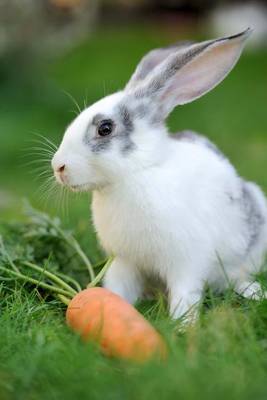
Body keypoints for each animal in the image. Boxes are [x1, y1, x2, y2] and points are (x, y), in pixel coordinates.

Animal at [51, 28, 267, 320]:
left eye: (105, 128)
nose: (58, 167)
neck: (138, 172)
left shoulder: (187, 262)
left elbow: (185, 296)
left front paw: (182, 326)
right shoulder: (125, 262)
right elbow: (118, 289)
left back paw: (254, 292)